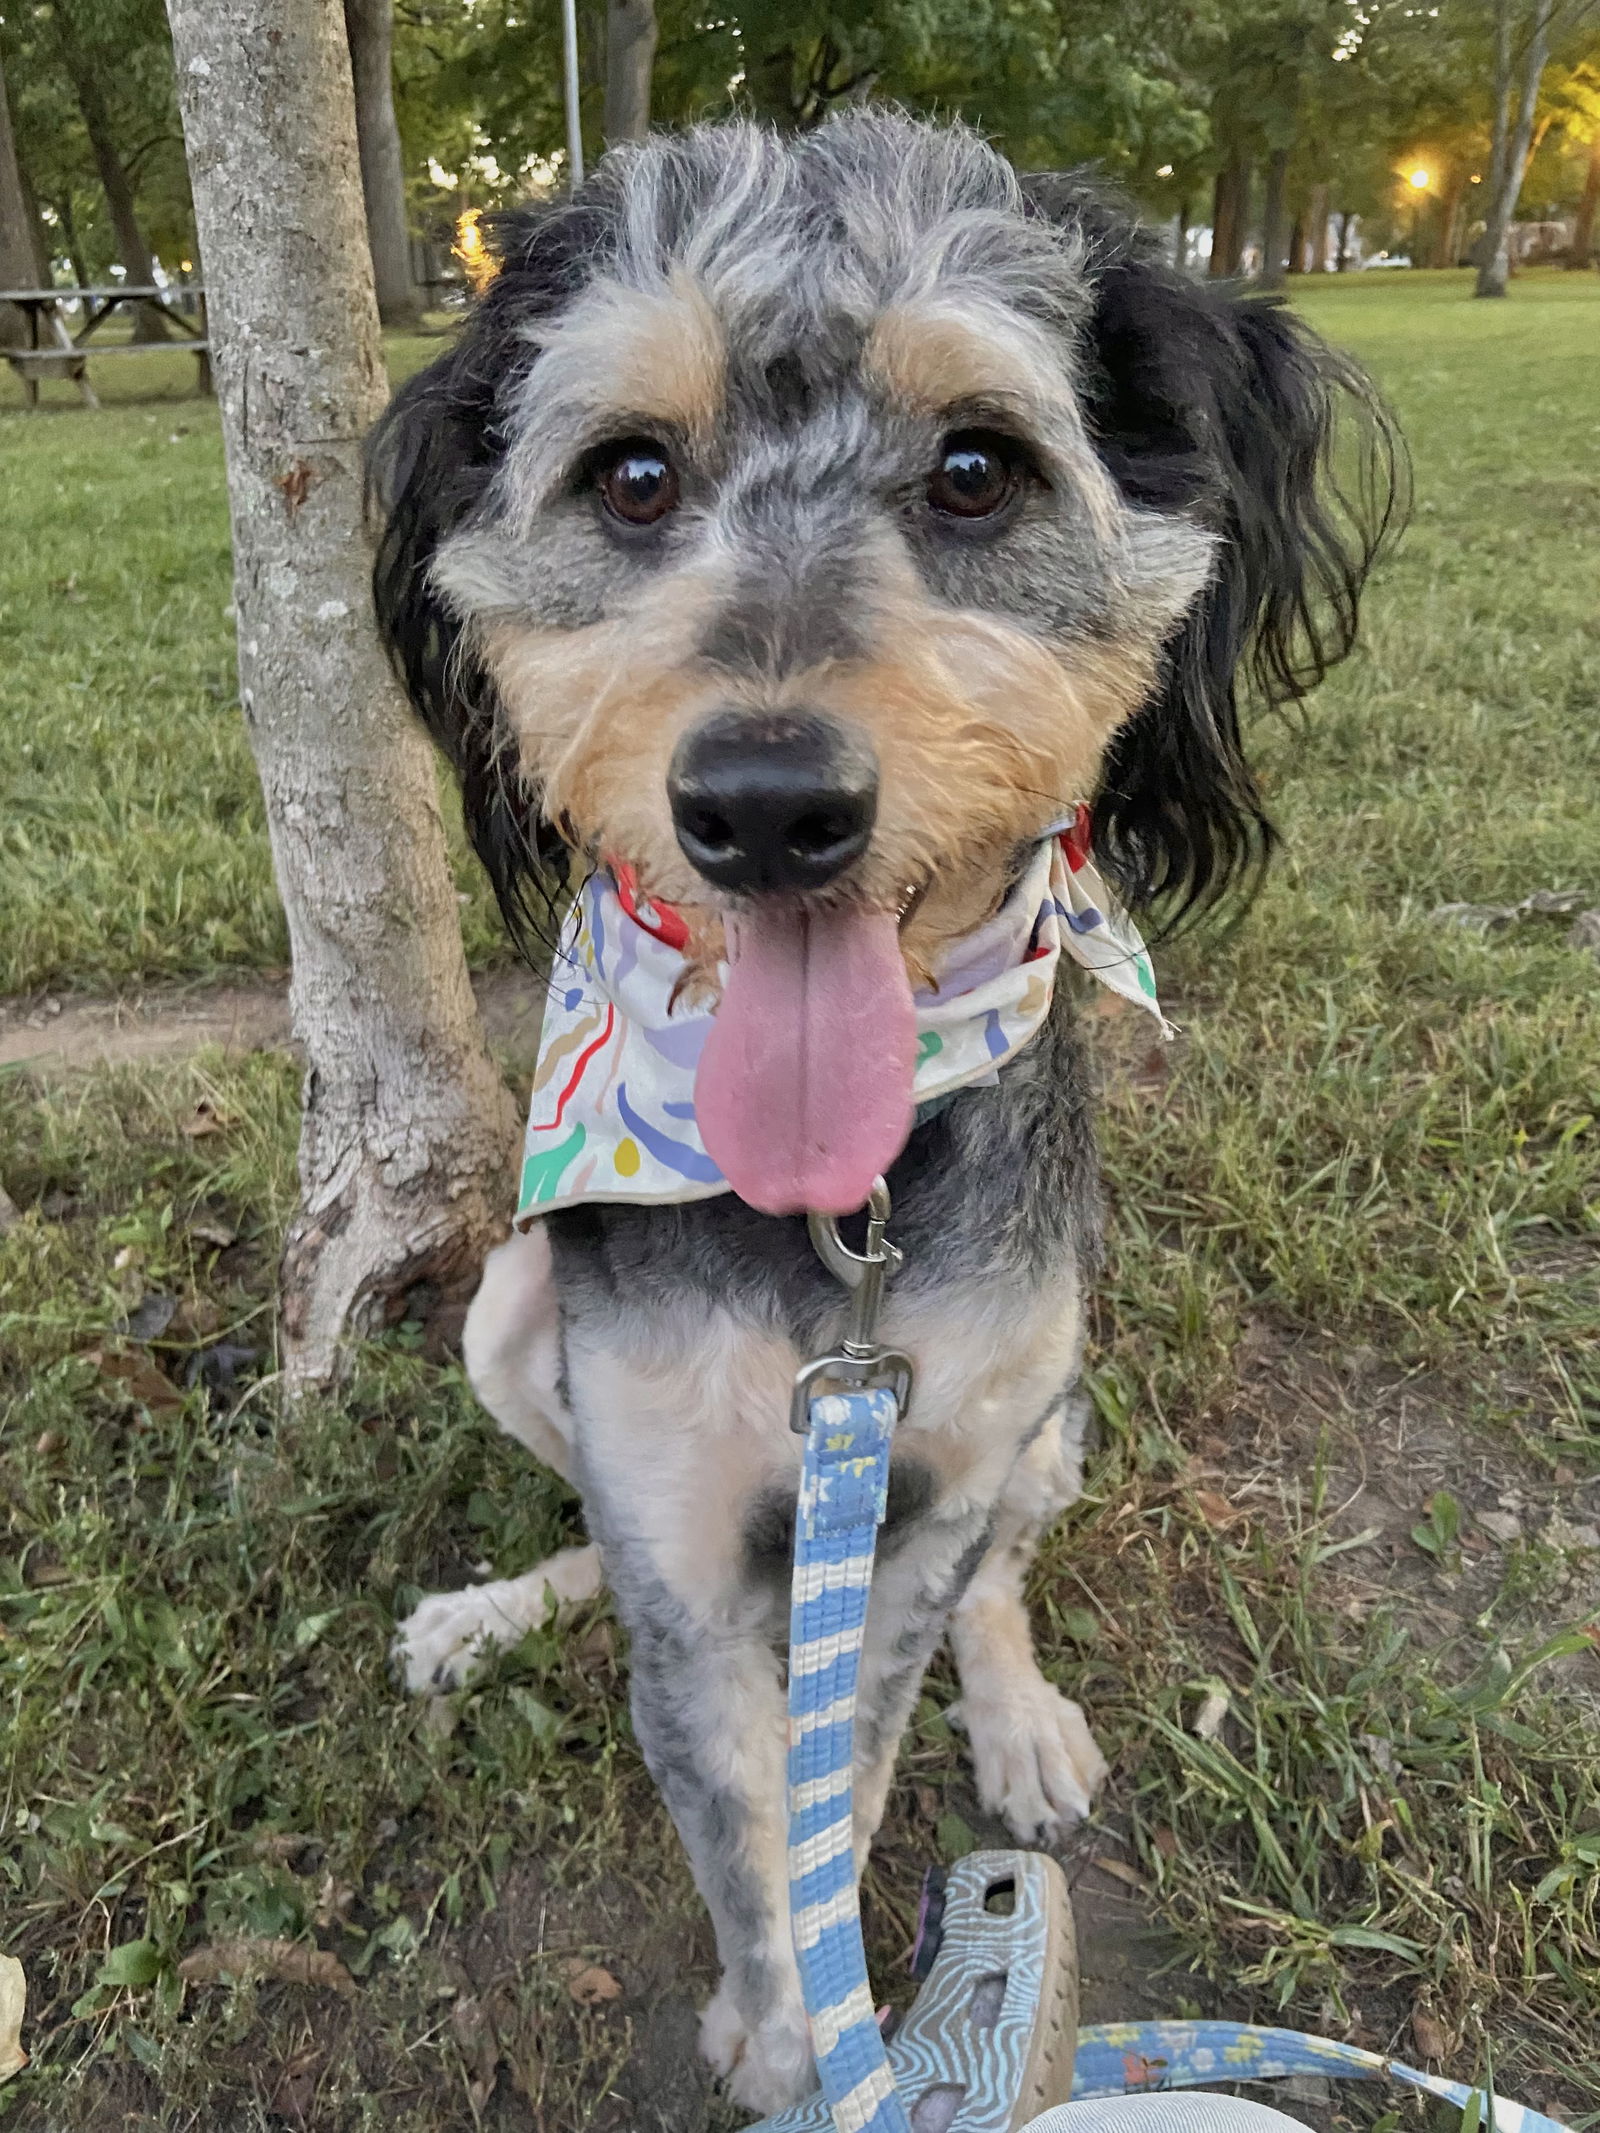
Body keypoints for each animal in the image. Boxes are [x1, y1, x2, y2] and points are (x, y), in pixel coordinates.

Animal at [369, 108, 1399, 2107]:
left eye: (979, 470)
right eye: (629, 476)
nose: (767, 803)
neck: (836, 1218)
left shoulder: (920, 1512)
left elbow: (849, 1769)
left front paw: (834, 2010)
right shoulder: (680, 1540)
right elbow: (737, 1803)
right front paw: (786, 2031)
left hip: (1055, 1403)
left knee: (1006, 1574)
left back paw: (1026, 1724)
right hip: (506, 1319)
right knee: (584, 1527)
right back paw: (494, 1606)